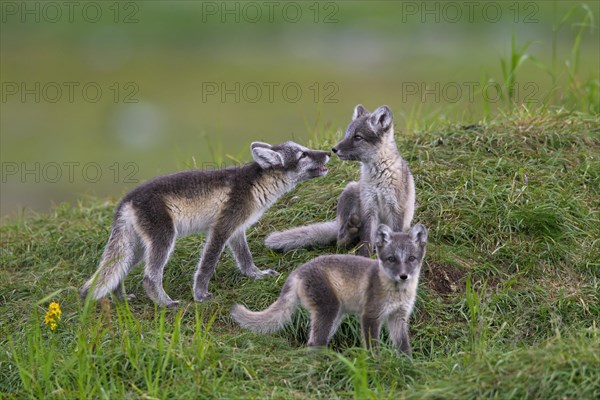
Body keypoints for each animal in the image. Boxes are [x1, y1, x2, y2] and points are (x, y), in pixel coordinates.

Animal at [80, 141, 330, 306]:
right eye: (303, 155)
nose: (328, 152)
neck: (255, 184)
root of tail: (126, 200)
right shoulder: (221, 228)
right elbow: (207, 266)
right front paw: (200, 295)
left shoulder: (236, 229)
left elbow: (245, 258)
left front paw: (256, 275)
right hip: (163, 239)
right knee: (149, 277)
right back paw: (165, 303)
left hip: (138, 248)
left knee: (116, 270)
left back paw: (121, 299)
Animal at [232, 223, 424, 354]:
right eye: (391, 259)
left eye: (411, 258)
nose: (403, 276)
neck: (398, 294)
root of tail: (298, 271)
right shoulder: (370, 315)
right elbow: (372, 347)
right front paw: (375, 364)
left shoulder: (399, 316)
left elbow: (404, 346)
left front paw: (408, 364)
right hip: (329, 309)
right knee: (314, 343)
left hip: (336, 316)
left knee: (313, 342)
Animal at [264, 104, 414, 255]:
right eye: (347, 134)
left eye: (358, 137)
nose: (334, 149)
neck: (378, 177)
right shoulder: (369, 207)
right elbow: (366, 240)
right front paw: (364, 257)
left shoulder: (397, 207)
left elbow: (396, 234)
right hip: (350, 191)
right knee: (340, 239)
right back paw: (349, 231)